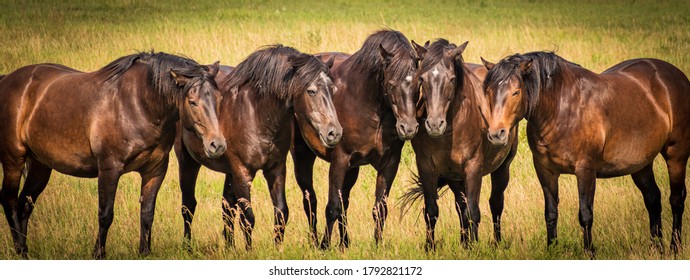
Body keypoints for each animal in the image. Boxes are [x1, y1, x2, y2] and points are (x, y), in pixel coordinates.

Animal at [0, 52, 226, 258]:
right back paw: (20, 251)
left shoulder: (155, 171)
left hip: (40, 165)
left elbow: (147, 214)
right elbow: (105, 214)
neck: (138, 105)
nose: (217, 145)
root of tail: (7, 80)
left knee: (24, 205)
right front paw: (98, 254)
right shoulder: (109, 169)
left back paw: (25, 251)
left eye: (219, 99)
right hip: (13, 160)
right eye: (192, 102)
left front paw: (145, 253)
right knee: (9, 200)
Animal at [175, 44, 342, 250]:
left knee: (226, 208)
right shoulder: (242, 172)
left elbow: (281, 212)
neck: (257, 115)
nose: (334, 133)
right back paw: (187, 246)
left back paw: (230, 247)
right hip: (188, 162)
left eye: (332, 89)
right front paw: (249, 250)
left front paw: (278, 248)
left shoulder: (275, 169)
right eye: (311, 91)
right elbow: (248, 218)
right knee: (188, 205)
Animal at [290, 29, 420, 248]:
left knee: (345, 202)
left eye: (419, 84)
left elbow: (379, 208)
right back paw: (315, 241)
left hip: (353, 169)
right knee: (310, 200)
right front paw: (324, 246)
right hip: (303, 156)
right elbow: (332, 207)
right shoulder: (340, 161)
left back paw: (344, 243)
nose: (408, 128)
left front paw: (377, 245)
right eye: (392, 85)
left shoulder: (389, 163)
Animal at [398, 38, 516, 249]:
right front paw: (430, 248)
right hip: (455, 178)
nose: (434, 124)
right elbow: (431, 211)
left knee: (495, 204)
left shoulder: (473, 167)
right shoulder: (426, 167)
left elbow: (474, 212)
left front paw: (475, 247)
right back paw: (464, 243)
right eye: (422, 79)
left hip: (503, 167)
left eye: (452, 79)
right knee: (460, 207)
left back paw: (495, 242)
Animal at [482, 51, 688, 255]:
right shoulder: (545, 171)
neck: (561, 109)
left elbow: (585, 214)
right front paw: (552, 249)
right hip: (641, 165)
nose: (496, 134)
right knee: (653, 199)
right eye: (489, 91)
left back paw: (675, 247)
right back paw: (656, 248)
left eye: (516, 92)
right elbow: (551, 212)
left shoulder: (586, 170)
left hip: (676, 154)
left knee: (676, 199)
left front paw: (589, 253)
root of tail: (676, 76)